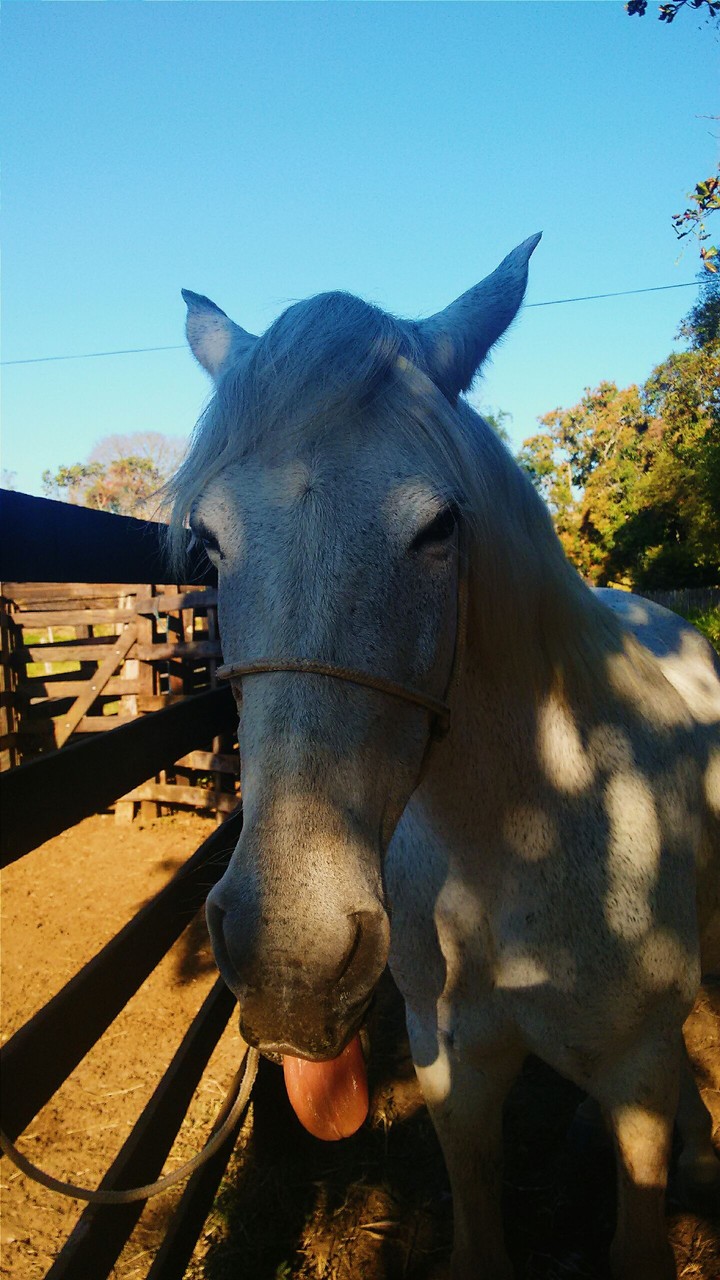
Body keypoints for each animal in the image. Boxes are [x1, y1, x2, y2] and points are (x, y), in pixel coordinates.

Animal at [167, 235, 720, 1279]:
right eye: (210, 542)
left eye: (438, 527)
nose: (290, 959)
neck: (523, 838)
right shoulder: (451, 1068)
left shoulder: (638, 1074)